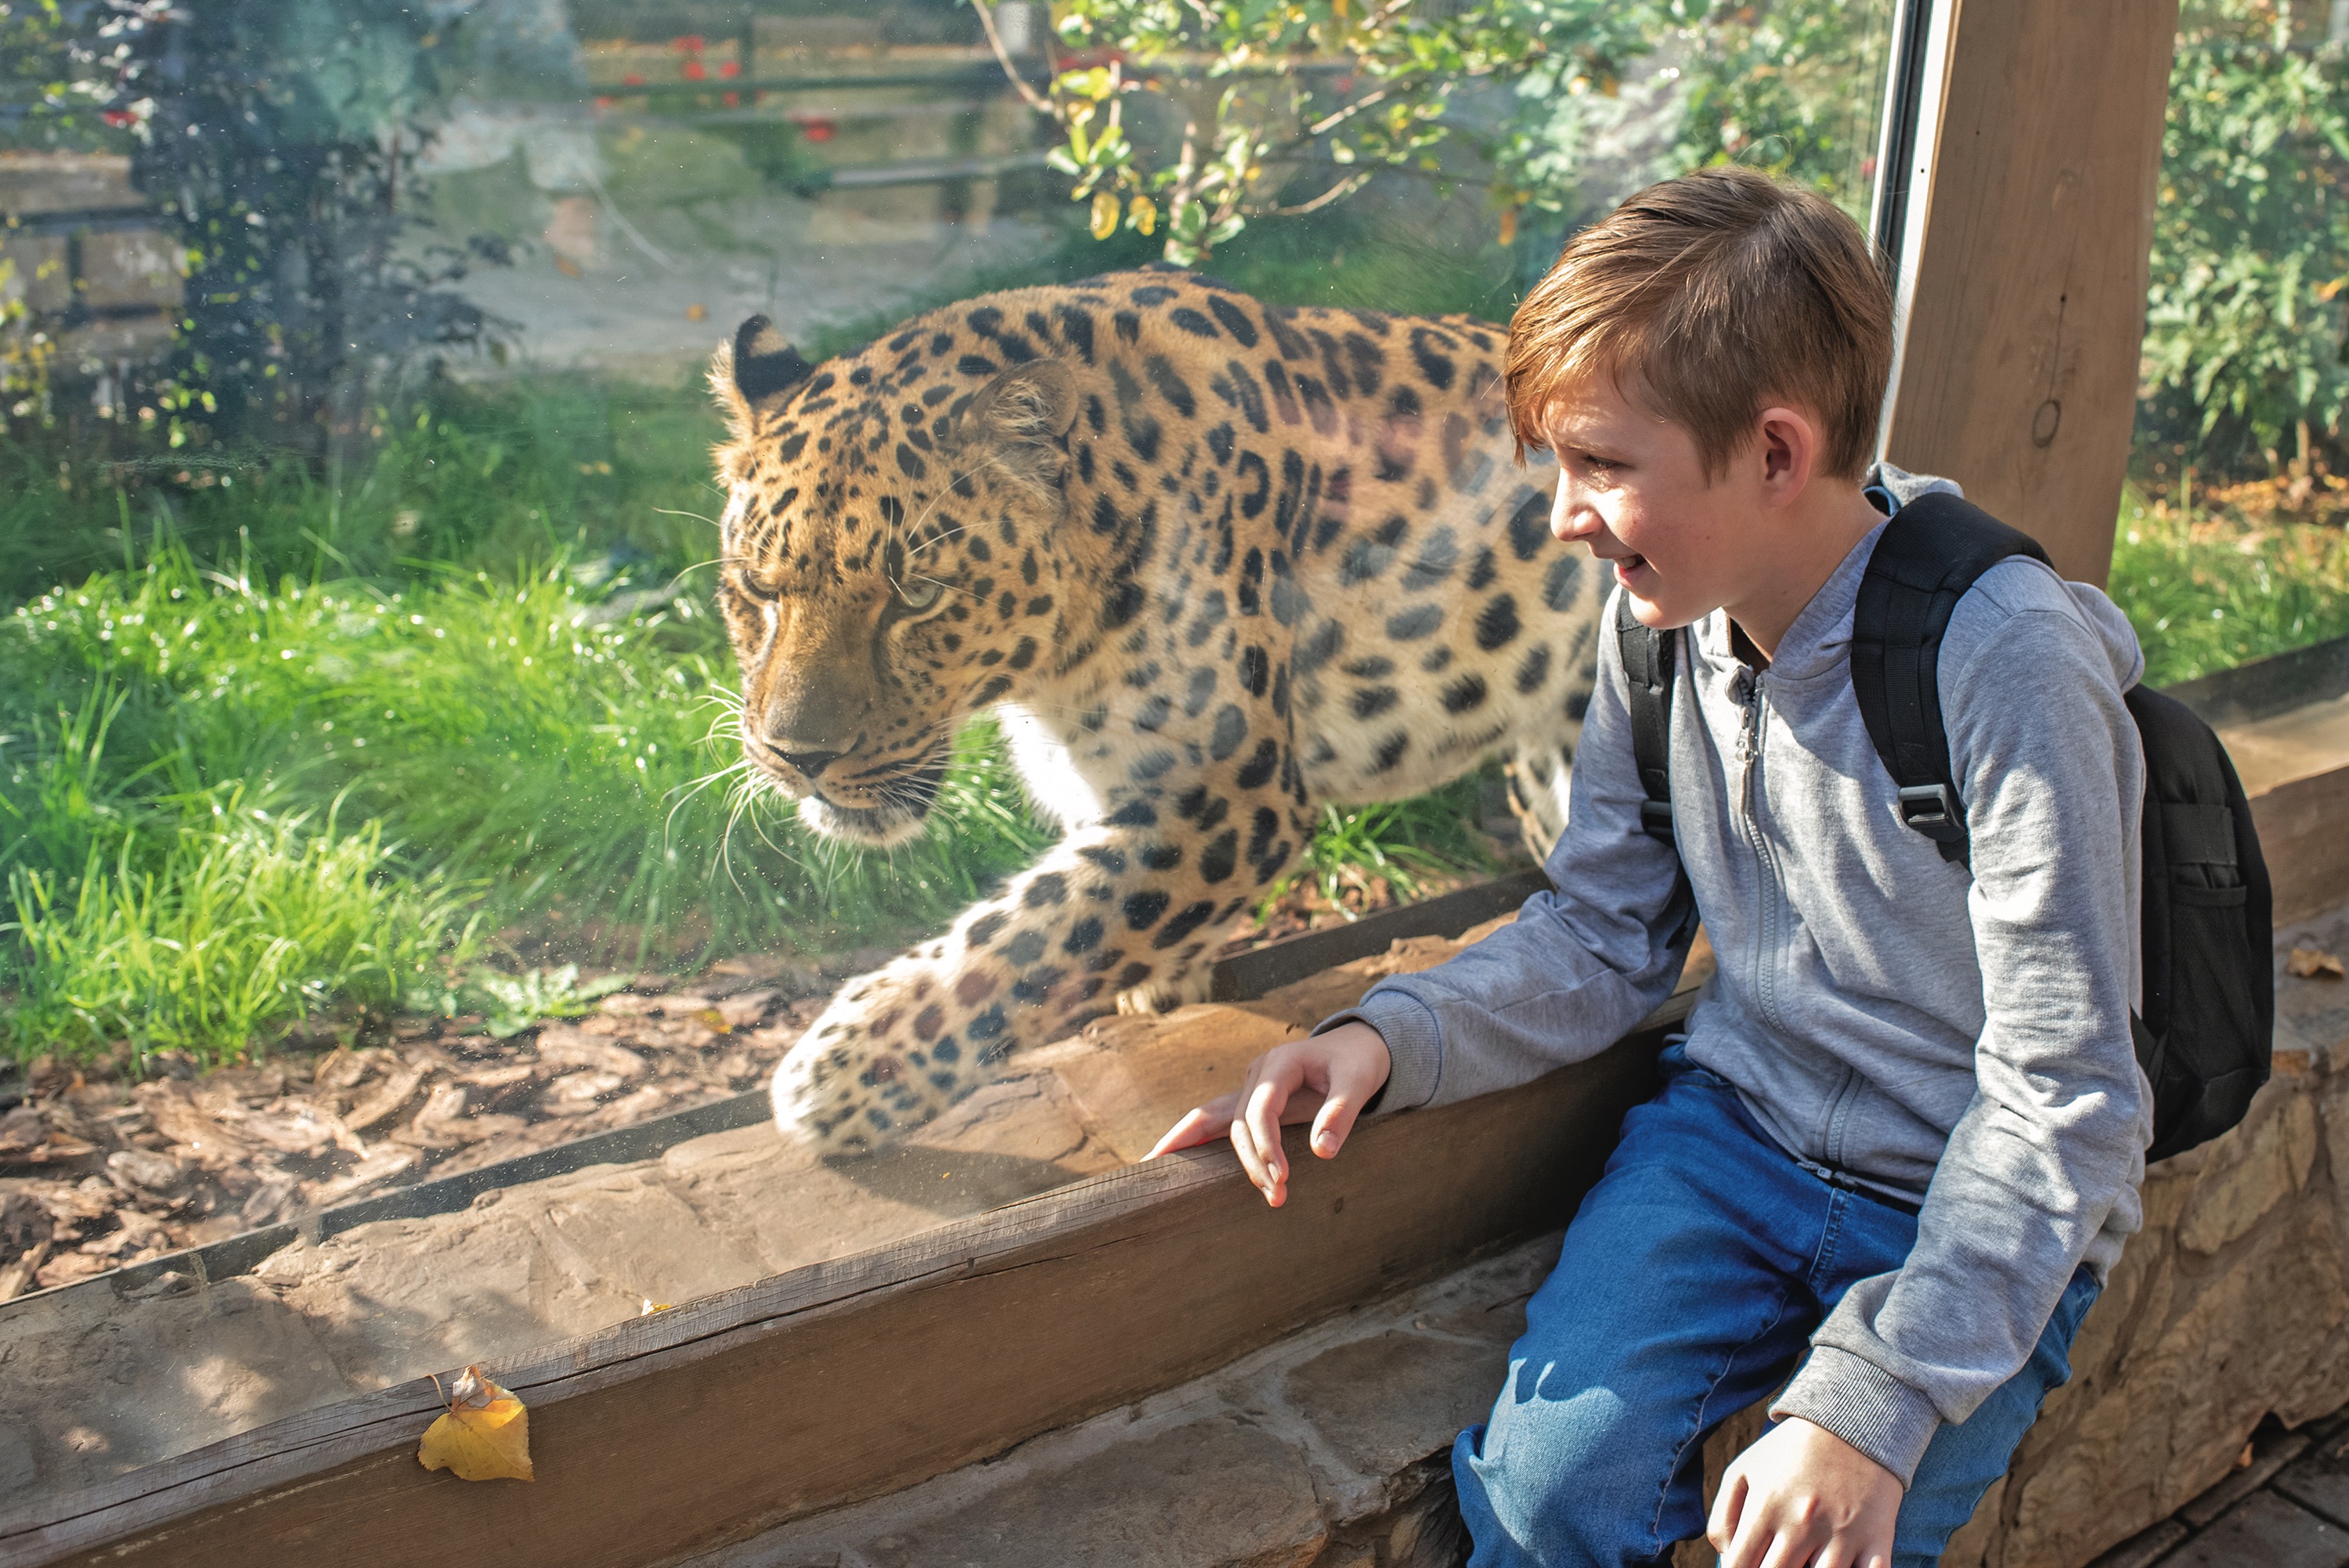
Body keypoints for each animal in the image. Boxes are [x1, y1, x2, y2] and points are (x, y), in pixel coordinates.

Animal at [708, 266, 1607, 1152]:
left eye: (918, 597)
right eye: (756, 586)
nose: (797, 755)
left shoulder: (1233, 792)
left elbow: (1036, 933)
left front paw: (845, 1069)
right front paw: (1164, 980)